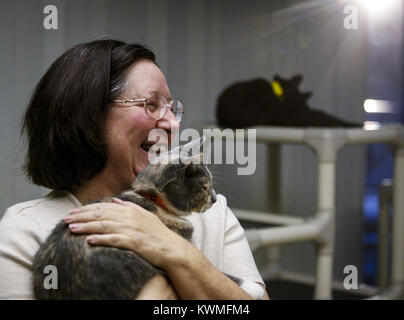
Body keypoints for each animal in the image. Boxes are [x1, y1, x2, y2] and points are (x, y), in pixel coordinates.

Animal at [31, 138, 262, 300]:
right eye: (205, 187)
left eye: (212, 184)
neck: (155, 200)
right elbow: (219, 272)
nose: (214, 199)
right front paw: (253, 288)